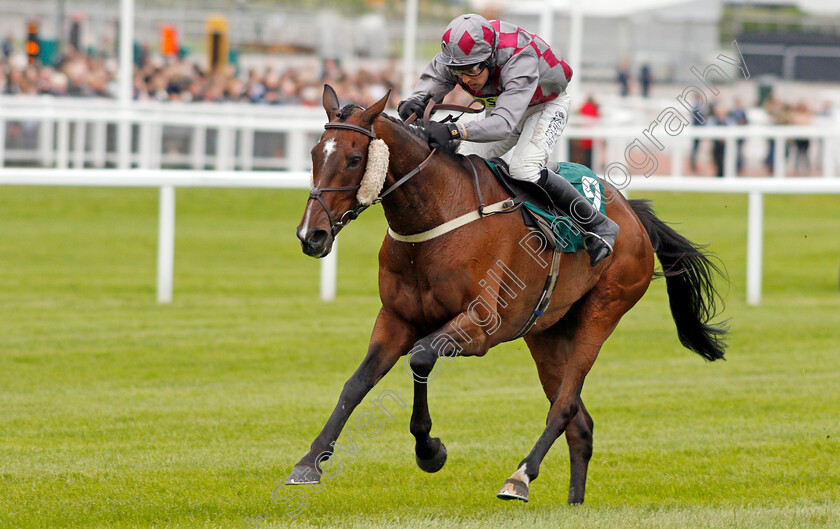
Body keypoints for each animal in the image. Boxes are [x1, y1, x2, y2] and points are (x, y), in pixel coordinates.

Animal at [286, 85, 724, 504]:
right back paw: (573, 501)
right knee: (580, 425)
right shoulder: (396, 318)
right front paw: (309, 462)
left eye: (354, 158)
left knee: (565, 406)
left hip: (602, 313)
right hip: (546, 334)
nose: (311, 235)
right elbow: (357, 383)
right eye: (314, 153)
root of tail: (632, 214)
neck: (436, 215)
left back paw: (520, 477)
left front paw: (429, 450)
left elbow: (421, 357)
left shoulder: (481, 326)